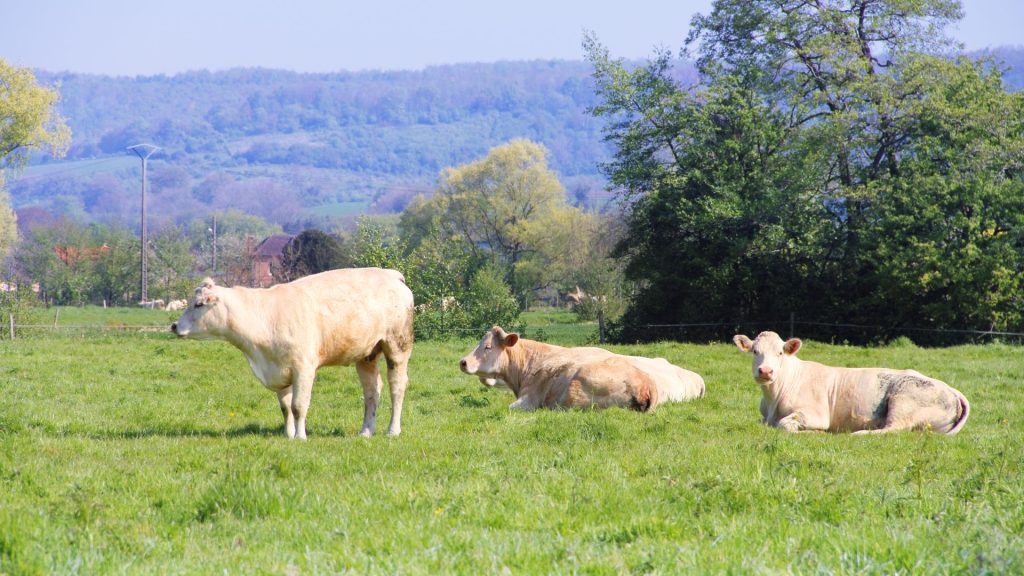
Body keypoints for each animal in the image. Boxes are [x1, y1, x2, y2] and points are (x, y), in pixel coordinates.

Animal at [170, 268, 414, 439]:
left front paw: (300, 436)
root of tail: (390, 274)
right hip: (367, 355)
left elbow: (298, 405)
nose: (174, 326)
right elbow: (285, 407)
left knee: (397, 387)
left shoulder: (303, 368)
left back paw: (393, 430)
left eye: (199, 304)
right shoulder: (279, 367)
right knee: (372, 392)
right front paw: (288, 434)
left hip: (397, 346)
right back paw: (366, 431)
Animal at [733, 331, 969, 434]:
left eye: (780, 353)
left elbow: (785, 425)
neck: (774, 398)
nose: (765, 371)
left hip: (904, 401)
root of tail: (950, 389)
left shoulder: (816, 414)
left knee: (893, 429)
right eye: (755, 351)